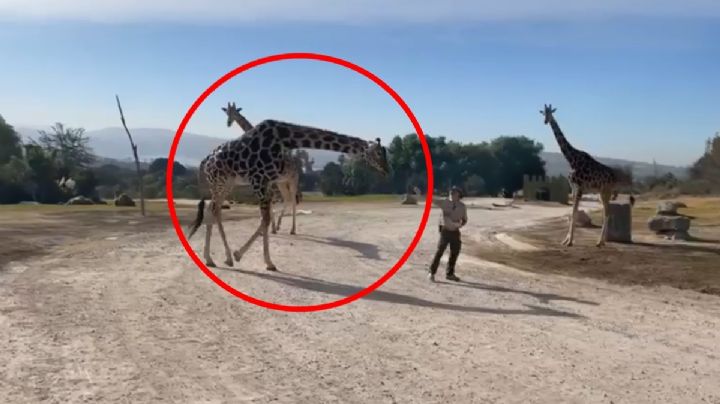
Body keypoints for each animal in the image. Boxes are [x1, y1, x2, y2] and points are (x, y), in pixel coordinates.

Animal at [221, 102, 301, 235]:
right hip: (282, 182)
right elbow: (268, 201)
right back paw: (279, 225)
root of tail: (297, 166)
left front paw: (268, 227)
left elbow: (269, 200)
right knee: (287, 198)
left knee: (293, 200)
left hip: (292, 180)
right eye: (227, 112)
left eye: (235, 112)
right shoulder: (268, 181)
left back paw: (293, 230)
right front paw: (270, 227)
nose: (228, 123)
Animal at [540, 104, 633, 247]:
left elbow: (574, 213)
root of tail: (615, 178)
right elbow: (572, 212)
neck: (571, 159)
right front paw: (565, 240)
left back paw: (600, 242)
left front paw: (570, 241)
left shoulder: (580, 188)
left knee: (607, 213)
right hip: (602, 192)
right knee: (607, 212)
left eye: (550, 113)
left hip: (605, 192)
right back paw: (602, 241)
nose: (546, 121)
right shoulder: (573, 188)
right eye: (543, 113)